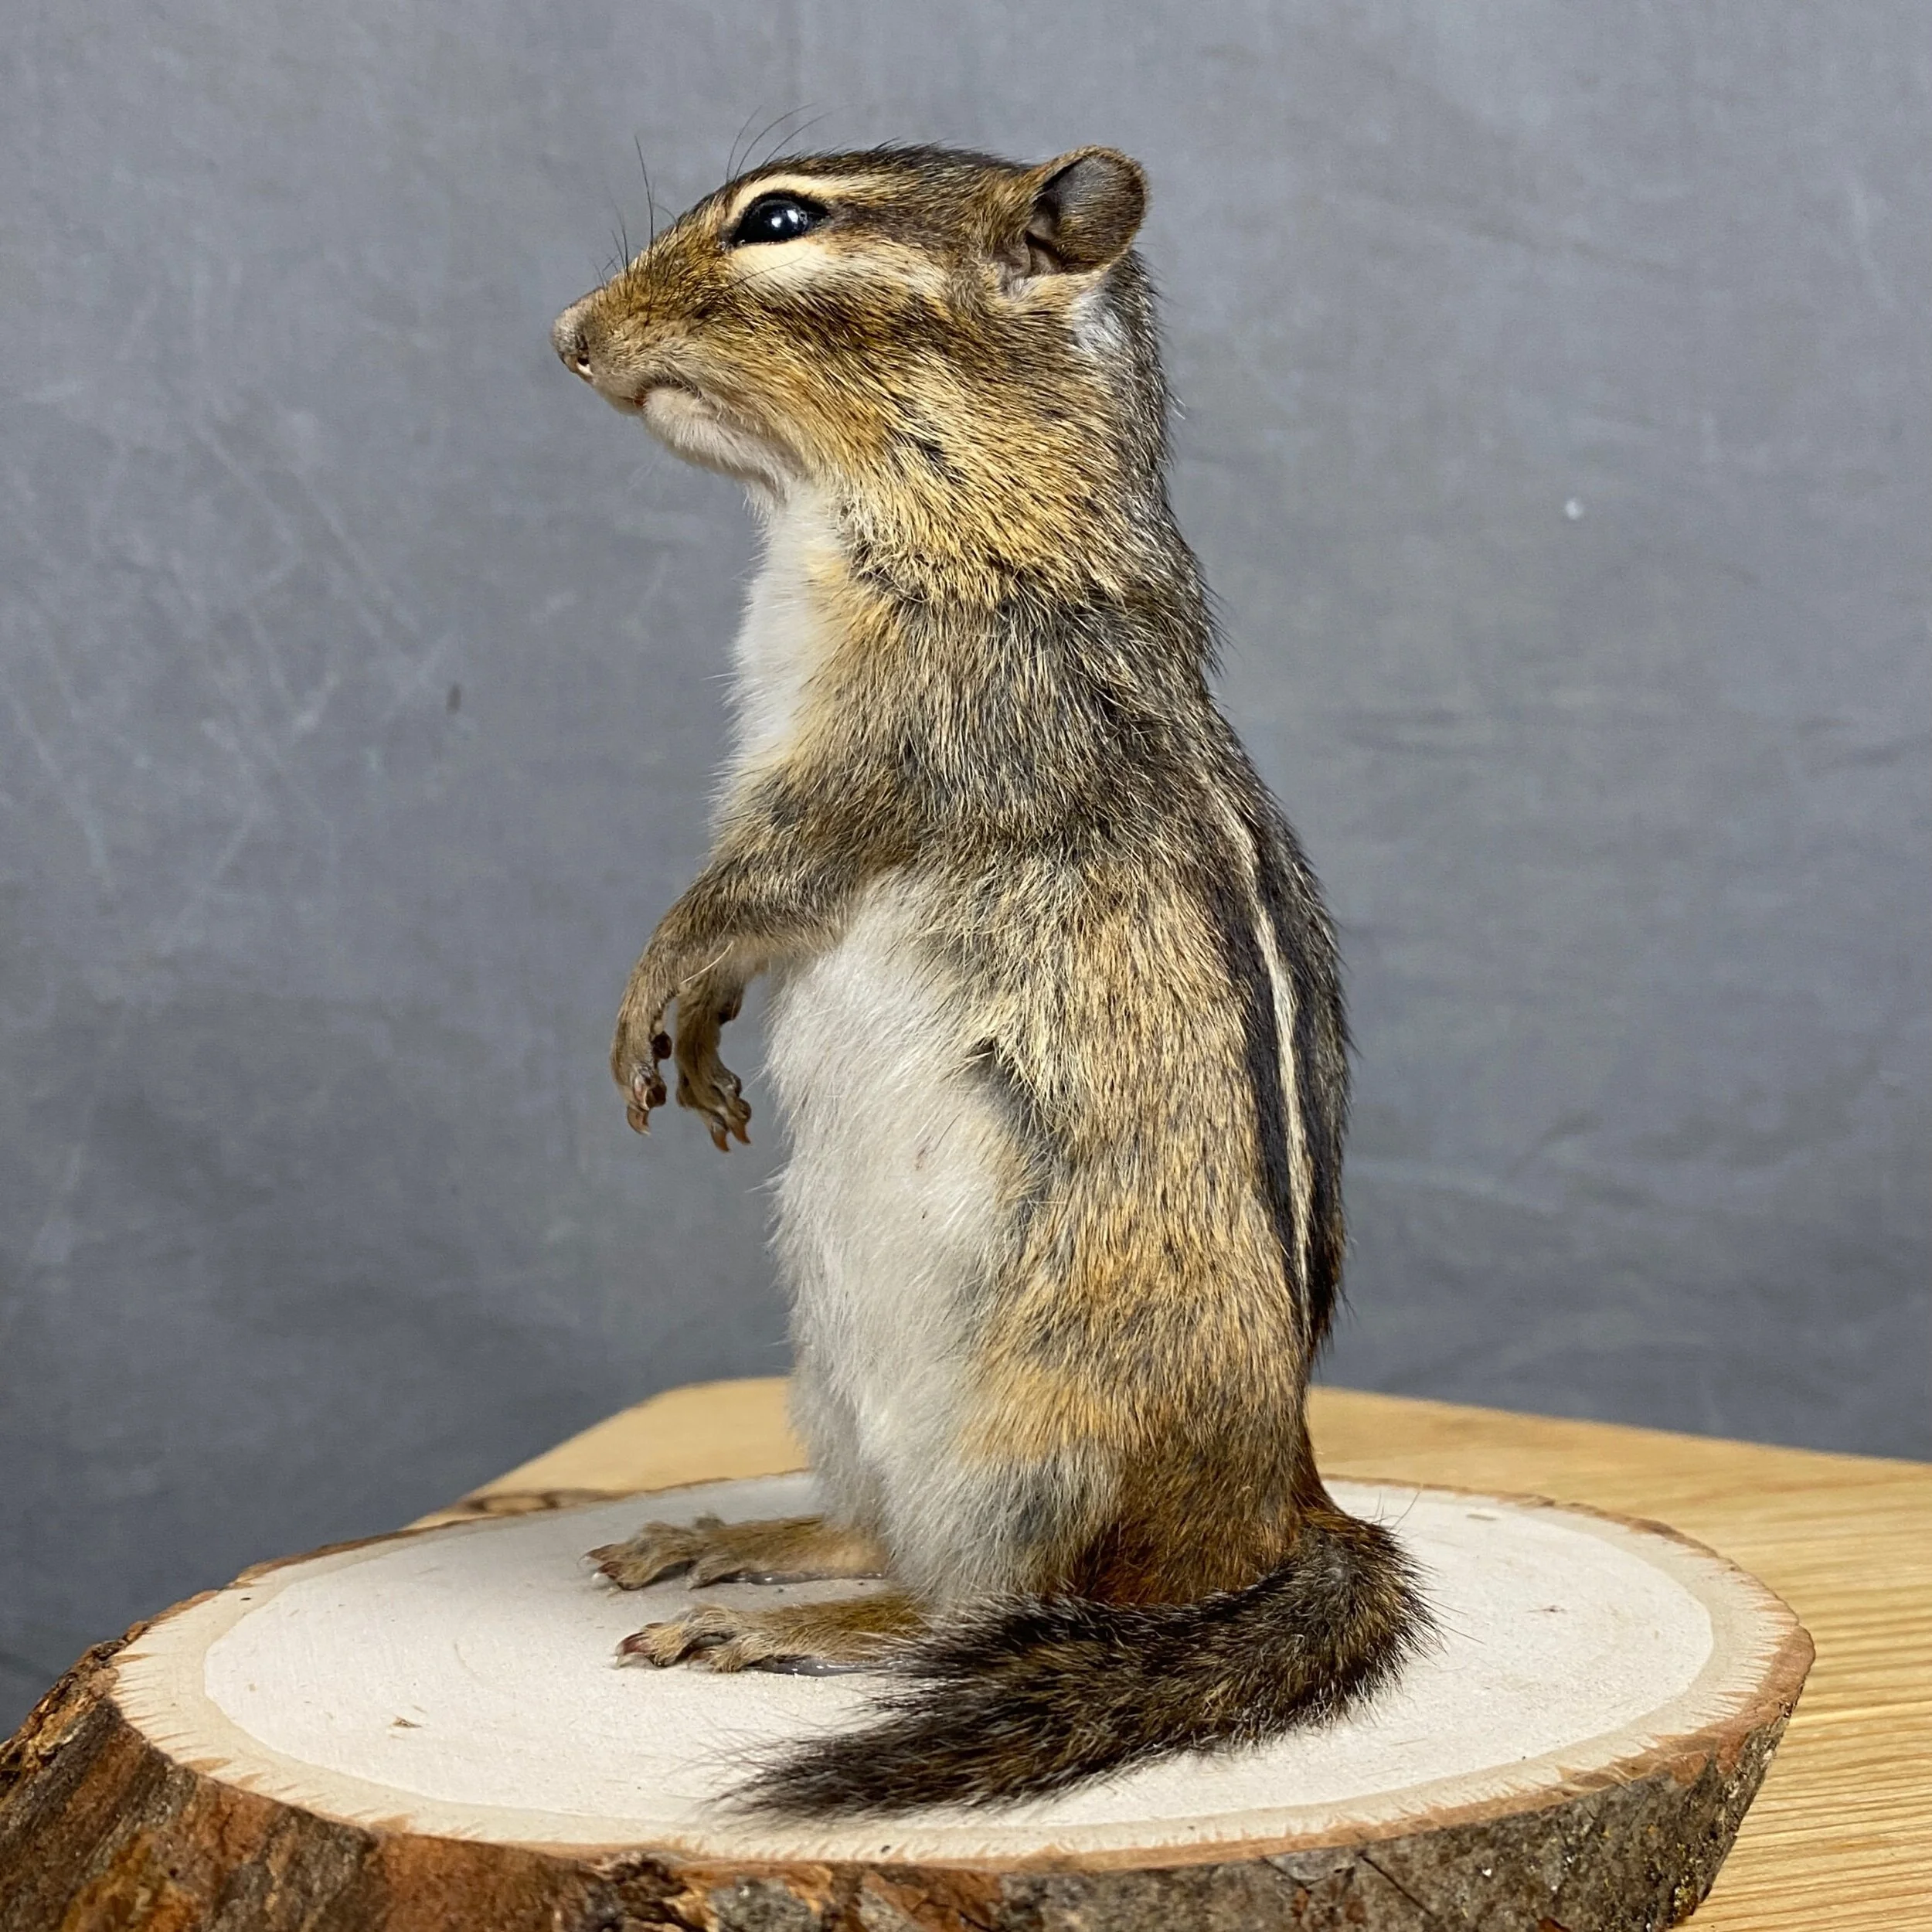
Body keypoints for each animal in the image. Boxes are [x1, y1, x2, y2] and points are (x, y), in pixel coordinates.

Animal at [551, 143, 1427, 1817]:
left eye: (779, 220)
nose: (567, 334)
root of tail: (1290, 1506)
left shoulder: (905, 742)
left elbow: (753, 887)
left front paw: (653, 992)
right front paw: (703, 1043)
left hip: (1037, 1441)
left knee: (980, 1613)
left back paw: (788, 1626)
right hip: (836, 1382)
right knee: (880, 1533)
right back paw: (738, 1539)